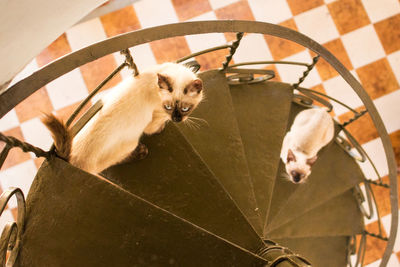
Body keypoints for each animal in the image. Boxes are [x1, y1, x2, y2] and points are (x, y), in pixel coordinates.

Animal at [43, 63, 203, 176]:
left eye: (185, 109)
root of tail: (69, 160)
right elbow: (157, 126)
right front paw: (162, 128)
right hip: (130, 143)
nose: (176, 119)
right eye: (168, 107)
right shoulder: (156, 118)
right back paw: (141, 152)